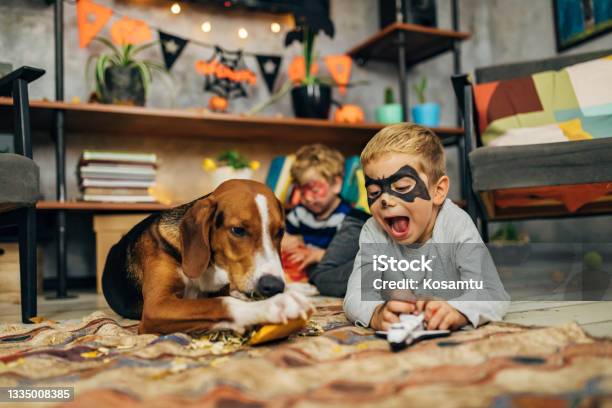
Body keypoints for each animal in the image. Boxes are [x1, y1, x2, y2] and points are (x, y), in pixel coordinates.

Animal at [103, 180, 314, 334]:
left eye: (280, 232)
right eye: (238, 230)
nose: (275, 285)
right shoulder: (156, 307)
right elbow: (221, 303)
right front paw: (275, 305)